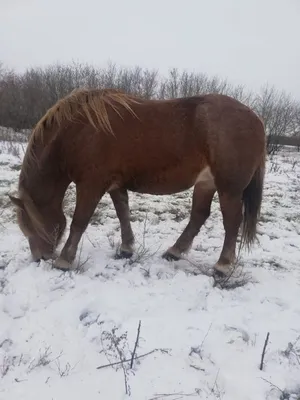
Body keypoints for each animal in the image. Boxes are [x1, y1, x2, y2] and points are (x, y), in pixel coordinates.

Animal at [9, 87, 266, 276]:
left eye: (30, 225)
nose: (40, 258)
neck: (79, 132)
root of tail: (256, 119)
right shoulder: (115, 185)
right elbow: (123, 213)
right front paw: (126, 248)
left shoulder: (91, 185)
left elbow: (79, 222)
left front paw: (64, 260)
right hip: (205, 184)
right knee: (198, 217)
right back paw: (174, 251)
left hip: (229, 189)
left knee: (232, 223)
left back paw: (222, 265)